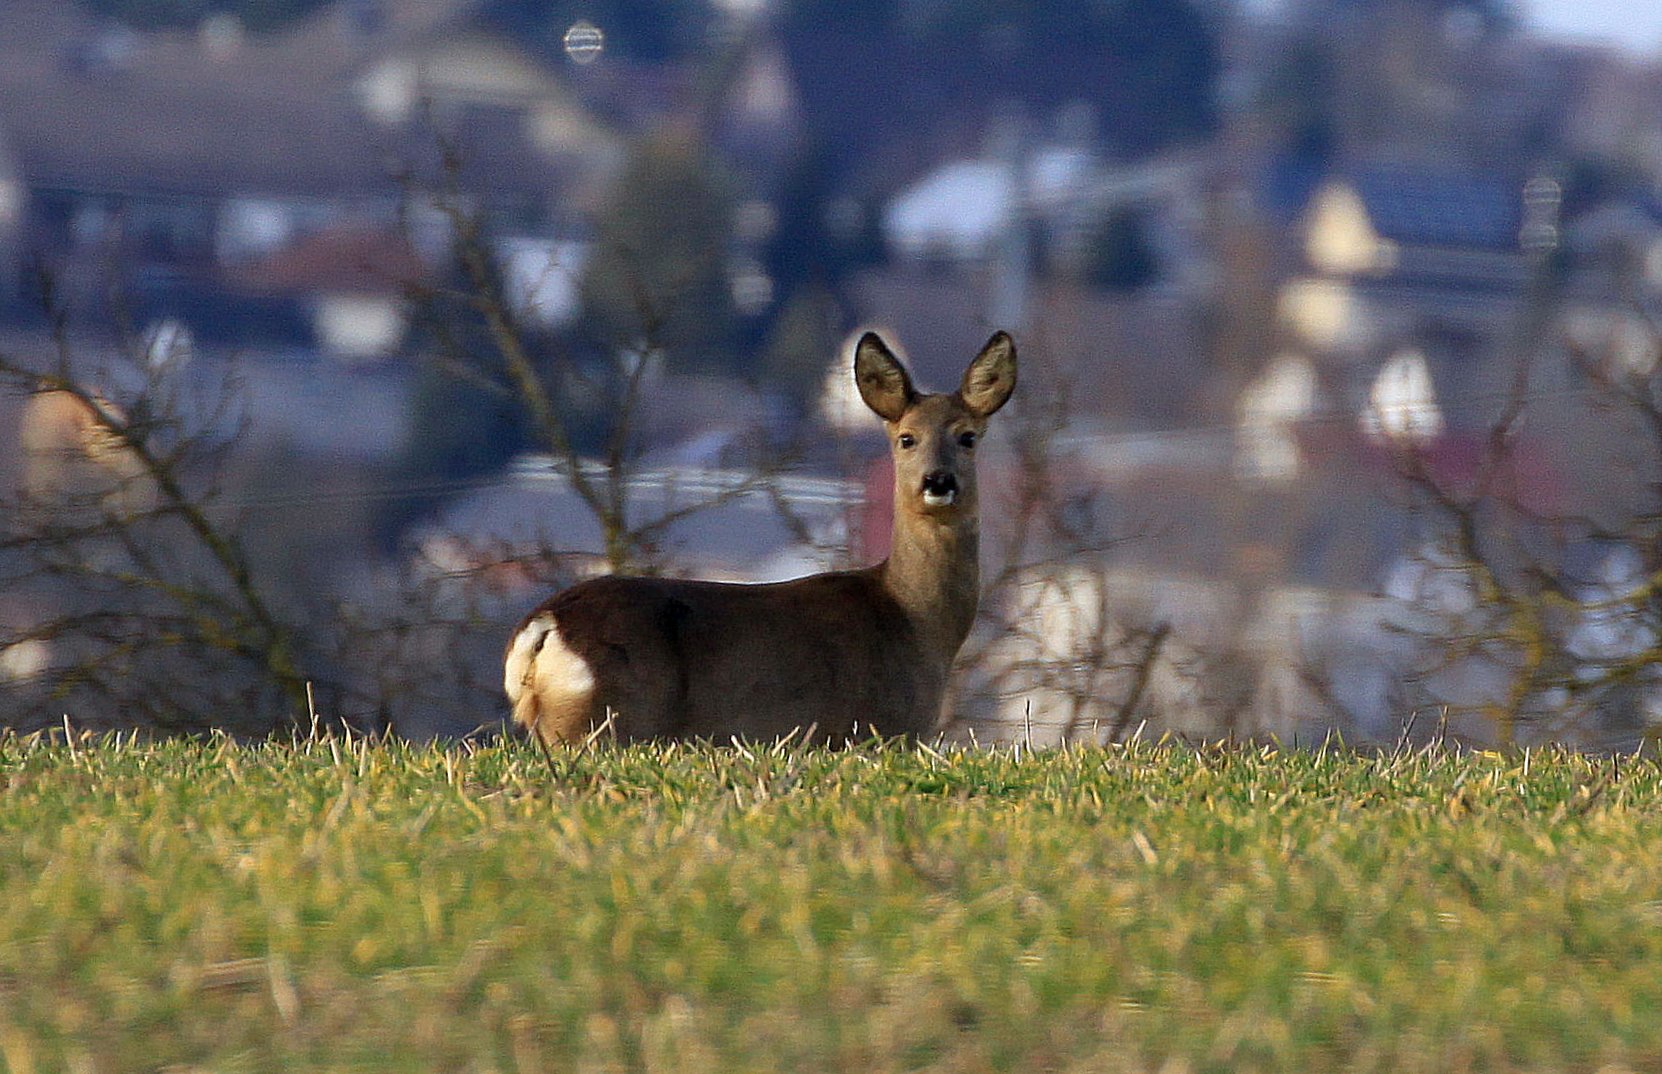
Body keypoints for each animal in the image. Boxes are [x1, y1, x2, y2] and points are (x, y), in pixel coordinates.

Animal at [498, 332, 1010, 744]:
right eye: (907, 438)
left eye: (967, 437)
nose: (938, 481)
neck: (913, 619)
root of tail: (544, 625)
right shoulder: (877, 730)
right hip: (610, 718)